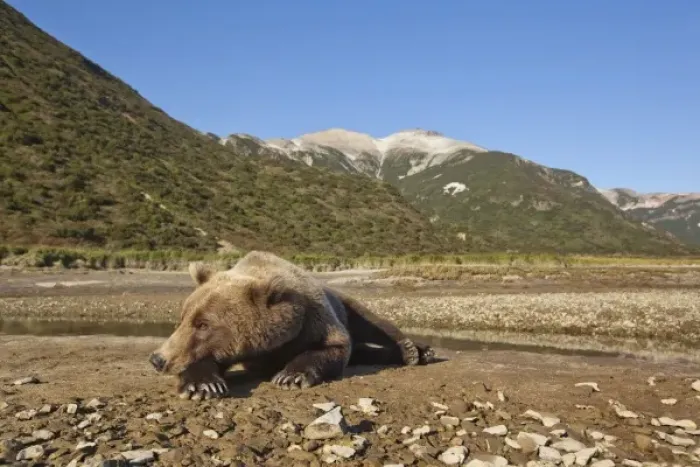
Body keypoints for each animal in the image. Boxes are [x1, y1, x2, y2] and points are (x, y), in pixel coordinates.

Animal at [149, 250, 436, 400]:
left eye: (203, 324)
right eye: (183, 318)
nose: (157, 359)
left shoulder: (315, 319)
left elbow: (332, 348)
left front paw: (290, 376)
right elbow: (202, 360)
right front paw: (202, 385)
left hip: (343, 302)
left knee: (371, 322)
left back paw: (415, 351)